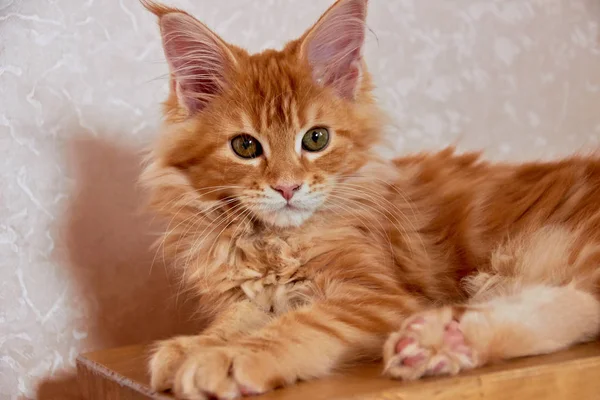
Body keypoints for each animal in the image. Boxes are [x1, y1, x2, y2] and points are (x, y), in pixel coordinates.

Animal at [141, 0, 600, 398]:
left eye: (316, 138)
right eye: (245, 147)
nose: (287, 187)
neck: (272, 242)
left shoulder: (377, 296)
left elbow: (304, 324)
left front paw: (230, 357)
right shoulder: (251, 295)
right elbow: (234, 319)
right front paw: (191, 346)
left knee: (581, 303)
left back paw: (439, 343)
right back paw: (440, 342)